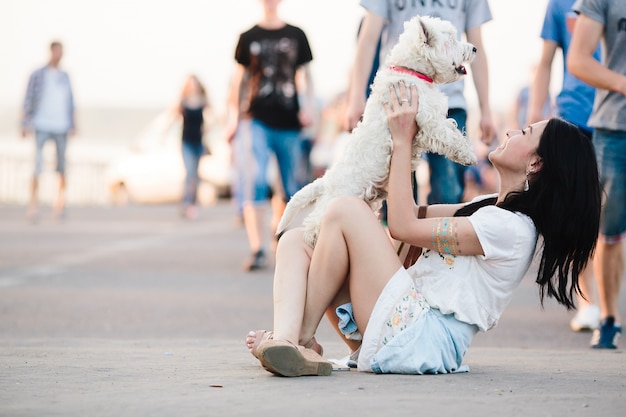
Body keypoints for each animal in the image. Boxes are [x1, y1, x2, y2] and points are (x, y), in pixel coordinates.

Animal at [276, 14, 476, 245]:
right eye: (450, 39)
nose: (474, 48)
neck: (411, 71)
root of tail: (325, 181)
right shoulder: (428, 120)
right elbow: (450, 136)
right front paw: (468, 156)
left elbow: (452, 130)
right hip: (335, 201)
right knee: (312, 224)